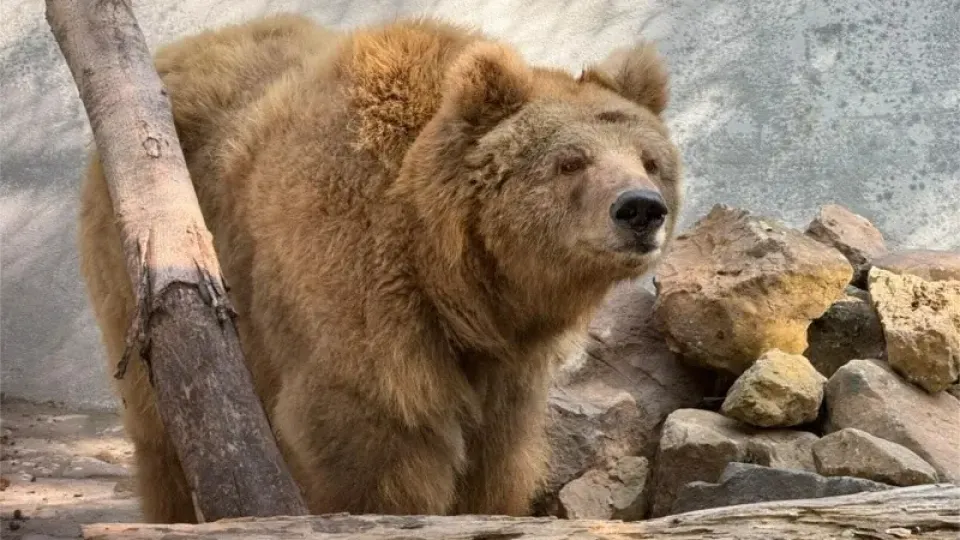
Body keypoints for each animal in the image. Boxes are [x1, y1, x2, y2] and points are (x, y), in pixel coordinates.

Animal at [77, 13, 683, 523]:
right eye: (570, 162)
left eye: (650, 160)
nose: (640, 209)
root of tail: (178, 49)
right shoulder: (358, 282)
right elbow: (374, 437)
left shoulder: (502, 359)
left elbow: (496, 454)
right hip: (151, 244)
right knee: (162, 421)